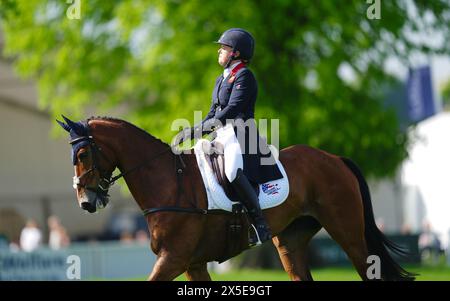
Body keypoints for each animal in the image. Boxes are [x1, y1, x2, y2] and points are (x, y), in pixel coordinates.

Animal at [56, 116, 414, 280]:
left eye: (83, 154)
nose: (86, 202)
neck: (169, 181)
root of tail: (334, 158)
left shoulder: (174, 258)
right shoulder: (192, 262)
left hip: (348, 233)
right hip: (291, 241)